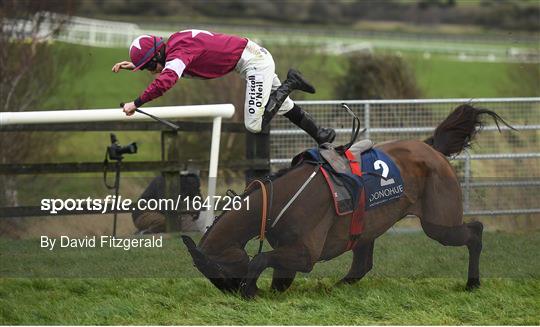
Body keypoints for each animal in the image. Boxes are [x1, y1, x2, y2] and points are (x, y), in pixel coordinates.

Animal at [182, 105, 516, 300]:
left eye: (217, 270)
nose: (230, 293)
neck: (278, 201)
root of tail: (431, 147)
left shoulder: (306, 253)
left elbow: (260, 259)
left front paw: (250, 288)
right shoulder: (289, 250)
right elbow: (276, 276)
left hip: (440, 224)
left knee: (475, 230)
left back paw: (473, 283)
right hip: (369, 227)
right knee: (361, 265)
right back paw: (336, 287)